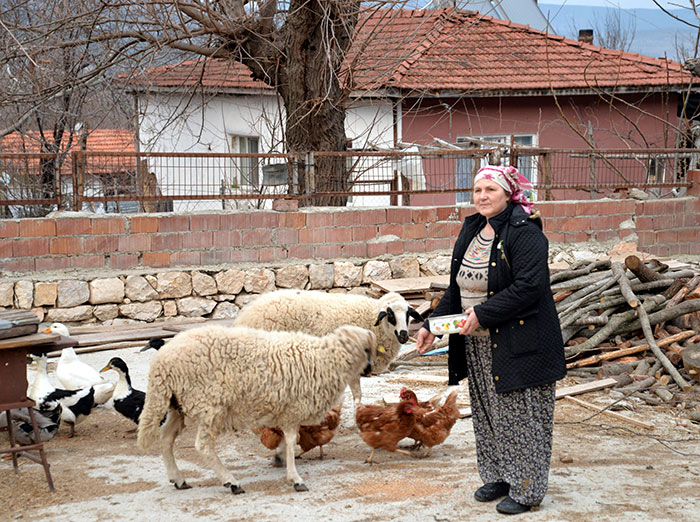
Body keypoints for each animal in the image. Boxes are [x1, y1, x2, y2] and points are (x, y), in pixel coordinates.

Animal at [137, 320, 378, 492]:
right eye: (367, 350)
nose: (369, 371)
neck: (325, 360)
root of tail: (161, 363)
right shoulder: (292, 410)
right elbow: (292, 441)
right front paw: (295, 478)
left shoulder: (286, 411)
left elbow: (287, 441)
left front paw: (280, 457)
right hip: (208, 405)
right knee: (203, 446)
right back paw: (231, 482)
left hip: (178, 406)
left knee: (166, 438)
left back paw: (178, 479)